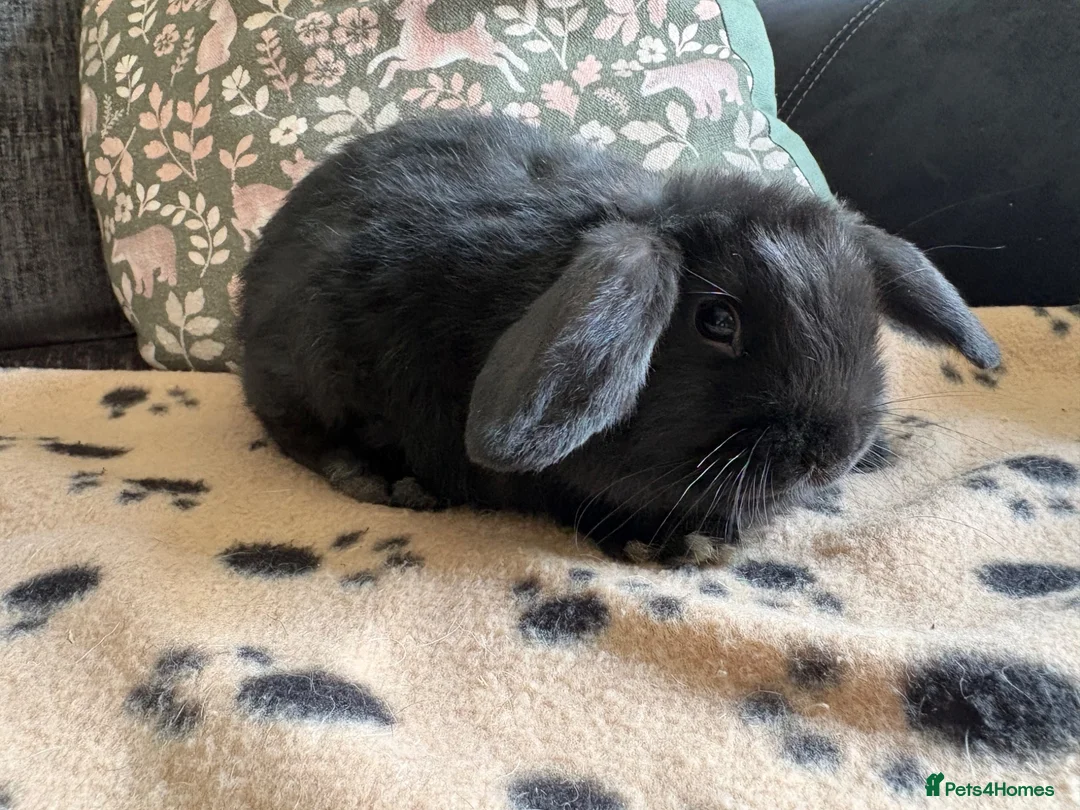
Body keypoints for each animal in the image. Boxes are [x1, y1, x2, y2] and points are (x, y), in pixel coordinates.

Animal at [237, 113, 1000, 561]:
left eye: (866, 317)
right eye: (717, 321)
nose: (832, 453)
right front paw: (677, 547)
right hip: (307, 376)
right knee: (303, 437)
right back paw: (383, 481)